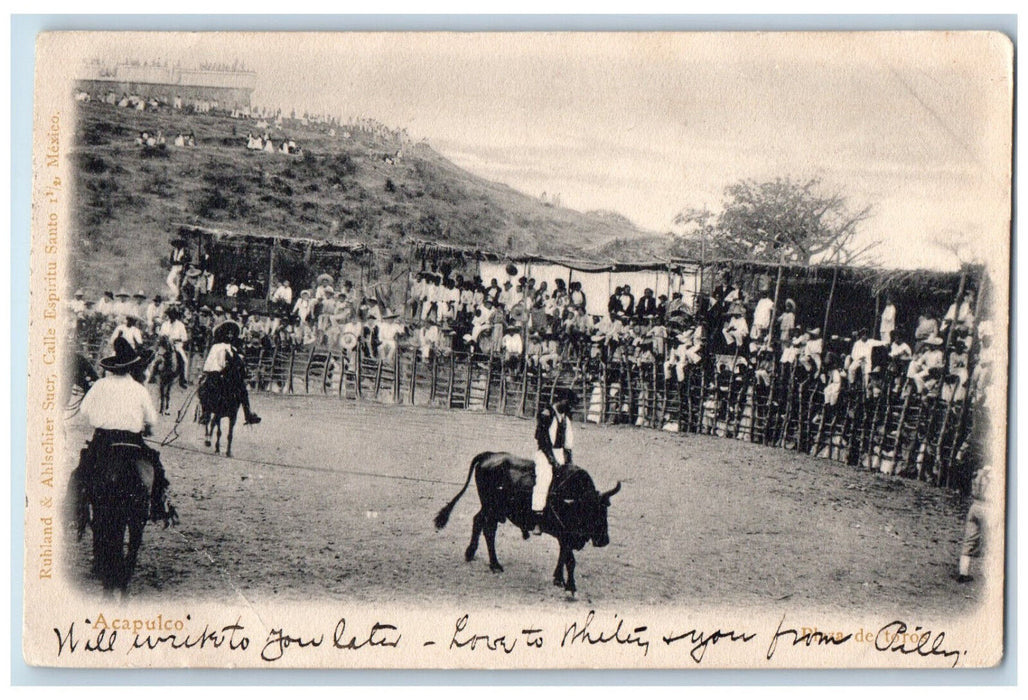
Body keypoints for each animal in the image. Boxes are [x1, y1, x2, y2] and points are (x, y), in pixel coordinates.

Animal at [431, 450, 620, 592]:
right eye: (590, 512)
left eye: (604, 511)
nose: (604, 540)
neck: (571, 497)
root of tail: (489, 455)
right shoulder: (565, 534)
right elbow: (570, 560)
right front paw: (570, 587)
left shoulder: (566, 536)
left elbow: (563, 555)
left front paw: (558, 579)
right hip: (492, 509)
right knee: (489, 531)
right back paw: (494, 564)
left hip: (490, 508)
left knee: (478, 521)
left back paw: (471, 553)